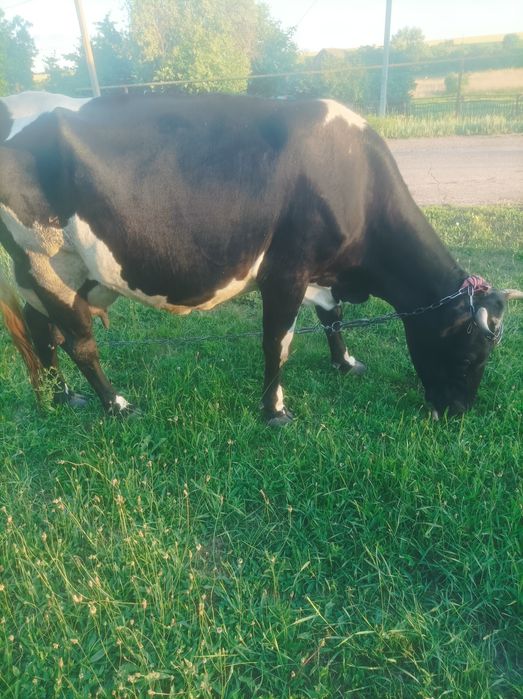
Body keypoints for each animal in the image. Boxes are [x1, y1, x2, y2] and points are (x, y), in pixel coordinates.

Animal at [0, 93, 521, 424]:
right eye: (470, 356)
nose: (456, 413)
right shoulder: (287, 271)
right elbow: (278, 343)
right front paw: (275, 412)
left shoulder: (319, 269)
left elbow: (333, 316)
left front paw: (346, 363)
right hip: (48, 263)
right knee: (79, 343)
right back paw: (117, 406)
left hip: (54, 274)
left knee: (43, 331)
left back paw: (65, 396)